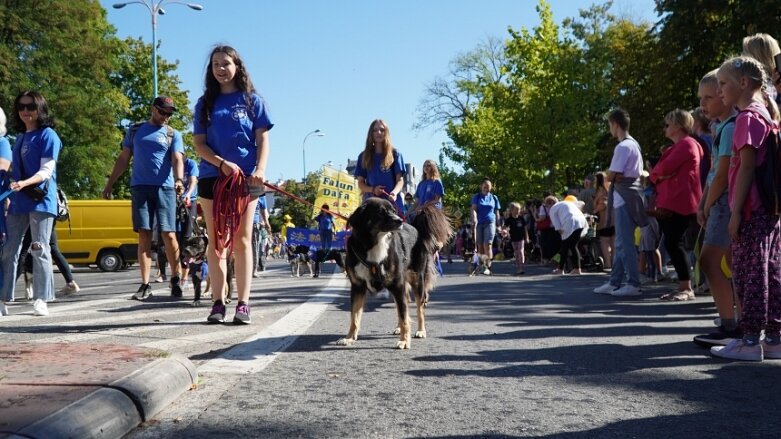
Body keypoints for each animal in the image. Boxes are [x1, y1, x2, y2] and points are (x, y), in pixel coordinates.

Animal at [336, 199, 450, 350]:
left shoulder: (397, 285)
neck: (375, 244)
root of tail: (416, 228)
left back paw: (421, 330)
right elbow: (354, 316)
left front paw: (405, 341)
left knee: (419, 308)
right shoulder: (358, 287)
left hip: (417, 280)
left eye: (394, 211)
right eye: (380, 212)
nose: (399, 221)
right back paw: (399, 328)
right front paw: (349, 338)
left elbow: (404, 316)